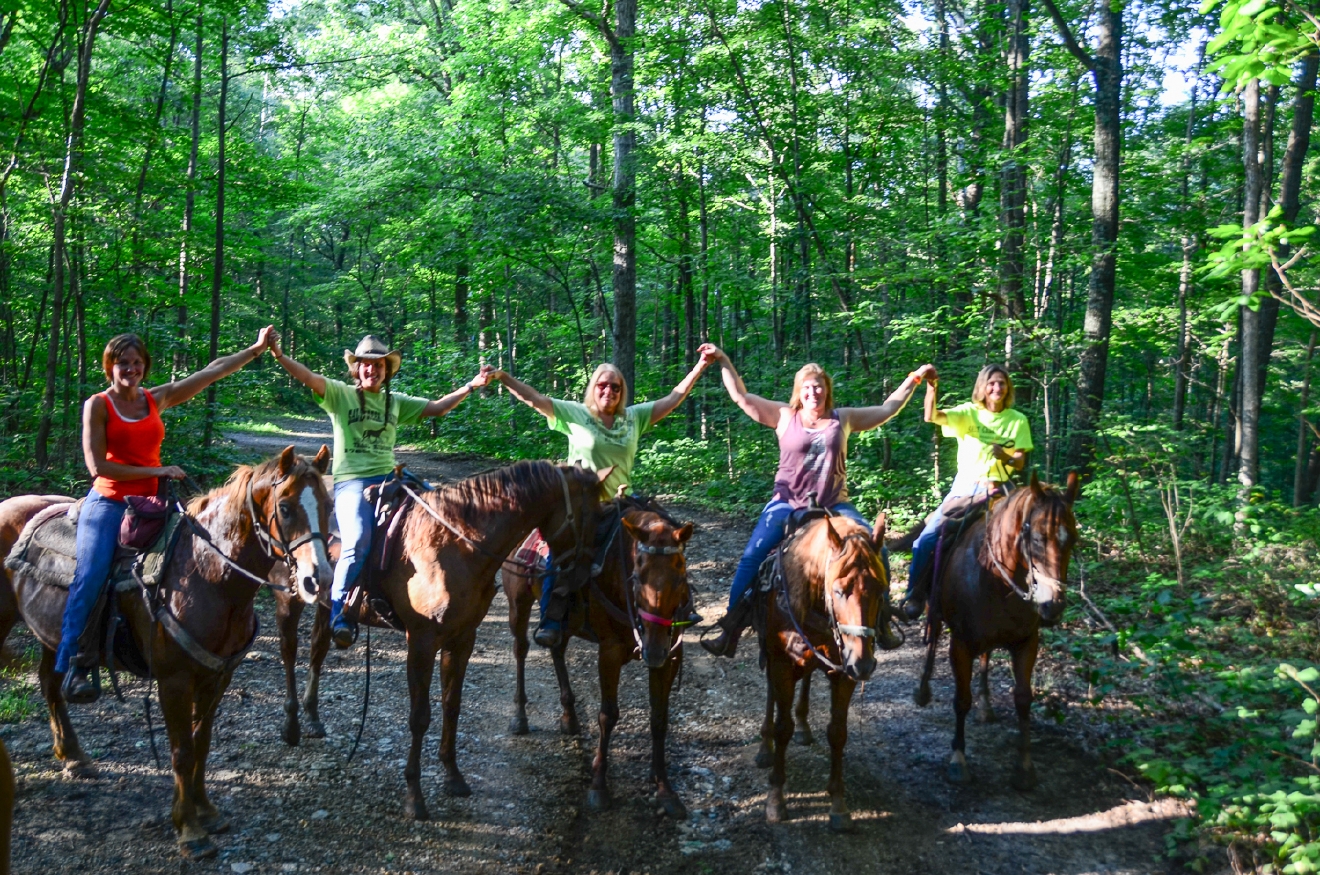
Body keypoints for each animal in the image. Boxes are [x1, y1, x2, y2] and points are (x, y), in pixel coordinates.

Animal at [2, 448, 332, 860]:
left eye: (328, 505)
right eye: (285, 508)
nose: (318, 579)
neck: (208, 574)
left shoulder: (218, 676)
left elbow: (201, 743)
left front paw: (206, 812)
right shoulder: (174, 681)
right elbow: (182, 750)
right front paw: (189, 830)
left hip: (52, 634)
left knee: (49, 683)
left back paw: (74, 756)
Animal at [361, 459, 607, 823]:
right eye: (593, 516)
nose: (580, 578)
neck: (453, 546)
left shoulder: (462, 638)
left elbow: (452, 705)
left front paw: (453, 777)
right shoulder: (421, 642)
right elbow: (419, 718)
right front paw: (414, 797)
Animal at [498, 506, 696, 823]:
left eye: (680, 575)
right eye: (636, 577)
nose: (653, 650)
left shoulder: (670, 659)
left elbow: (659, 719)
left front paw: (664, 788)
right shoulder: (610, 652)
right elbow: (608, 716)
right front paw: (598, 786)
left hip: (566, 621)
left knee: (557, 648)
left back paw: (569, 716)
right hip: (518, 603)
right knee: (520, 650)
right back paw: (520, 716)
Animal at [755, 517, 887, 834]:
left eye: (881, 590)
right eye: (838, 591)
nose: (864, 664)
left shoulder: (844, 673)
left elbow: (837, 733)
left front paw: (838, 805)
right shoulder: (781, 663)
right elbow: (783, 728)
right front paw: (776, 799)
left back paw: (804, 725)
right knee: (772, 693)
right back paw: (765, 746)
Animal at [913, 475, 1077, 791]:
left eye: (1073, 538)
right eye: (1036, 538)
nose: (1052, 604)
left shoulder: (1027, 642)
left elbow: (1023, 698)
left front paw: (1024, 767)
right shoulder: (960, 644)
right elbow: (961, 699)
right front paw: (958, 761)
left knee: (986, 657)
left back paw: (986, 706)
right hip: (935, 612)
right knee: (932, 639)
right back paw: (923, 691)